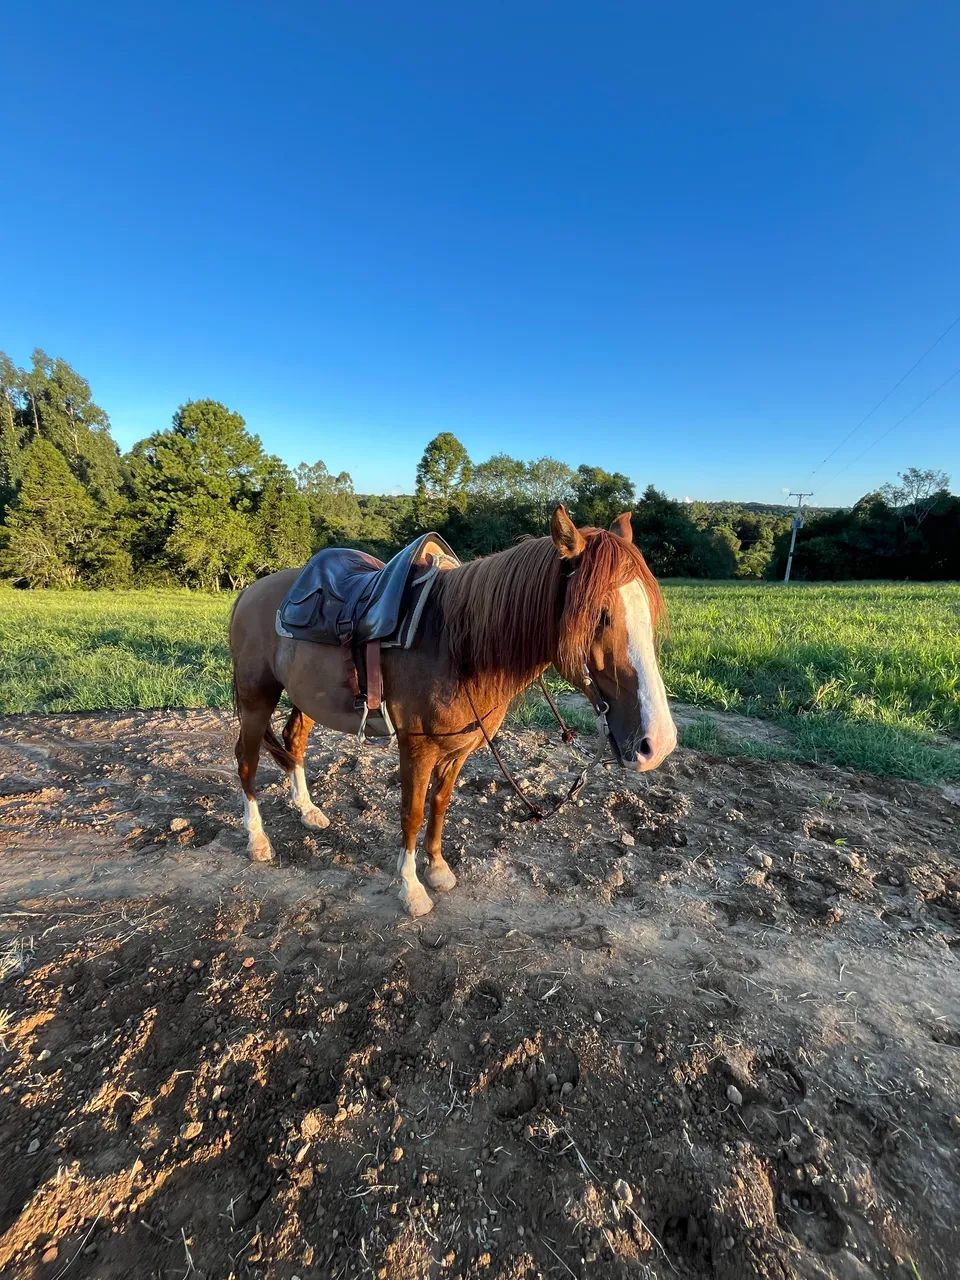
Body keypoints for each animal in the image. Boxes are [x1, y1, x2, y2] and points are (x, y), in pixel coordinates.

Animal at [228, 505, 677, 917]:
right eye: (600, 615)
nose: (659, 743)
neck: (453, 644)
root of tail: (249, 592)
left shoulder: (459, 749)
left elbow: (439, 804)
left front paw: (438, 869)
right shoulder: (416, 747)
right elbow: (411, 813)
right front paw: (411, 888)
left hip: (305, 699)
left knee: (293, 743)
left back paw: (307, 810)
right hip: (255, 698)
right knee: (246, 760)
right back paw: (258, 840)